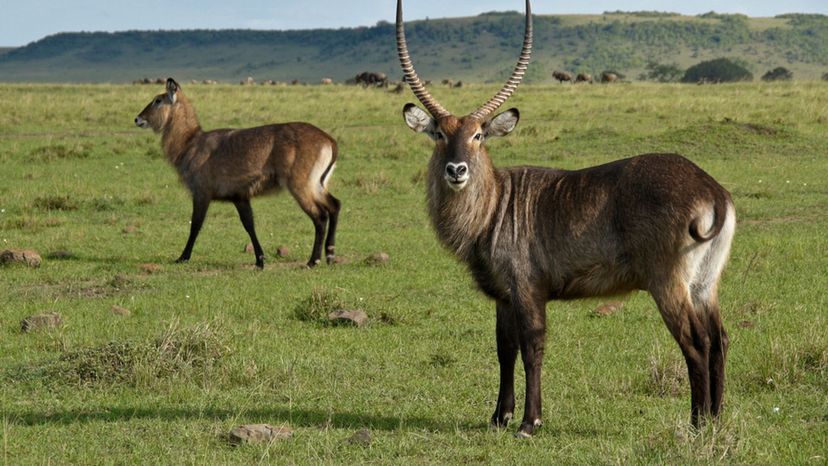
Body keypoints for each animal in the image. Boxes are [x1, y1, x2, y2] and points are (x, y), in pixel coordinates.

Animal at [135, 79, 340, 270]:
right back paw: (330, 254)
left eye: (158, 100)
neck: (190, 142)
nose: (137, 119)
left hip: (301, 185)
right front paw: (260, 260)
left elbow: (195, 224)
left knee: (320, 216)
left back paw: (314, 260)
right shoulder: (239, 197)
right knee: (335, 205)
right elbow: (249, 225)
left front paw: (182, 257)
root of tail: (329, 140)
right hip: (317, 184)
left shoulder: (201, 193)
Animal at [398, 0, 736, 436]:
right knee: (719, 339)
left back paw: (697, 423)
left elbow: (532, 347)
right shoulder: (503, 295)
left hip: (668, 283)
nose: (456, 170)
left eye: (478, 135)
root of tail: (710, 188)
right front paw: (499, 417)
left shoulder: (527, 288)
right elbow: (504, 349)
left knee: (695, 343)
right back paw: (716, 419)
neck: (494, 205)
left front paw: (529, 421)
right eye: (439, 133)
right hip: (705, 284)